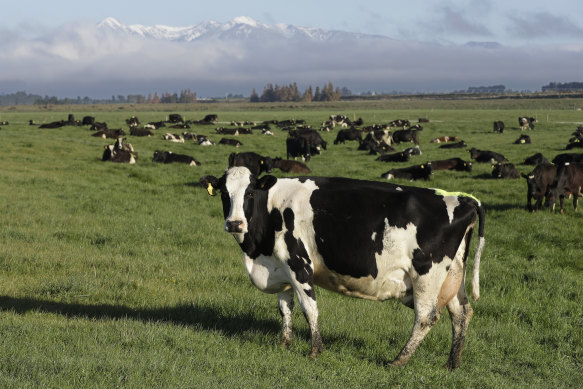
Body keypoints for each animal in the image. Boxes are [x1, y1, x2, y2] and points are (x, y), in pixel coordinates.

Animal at [200, 166, 484, 366]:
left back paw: (398, 360)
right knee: (461, 314)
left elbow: (309, 309)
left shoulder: (299, 264)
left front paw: (315, 351)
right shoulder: (280, 268)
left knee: (426, 316)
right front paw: (284, 345)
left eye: (249, 193)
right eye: (224, 194)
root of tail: (464, 199)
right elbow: (285, 308)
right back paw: (452, 363)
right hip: (452, 275)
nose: (234, 224)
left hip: (427, 274)